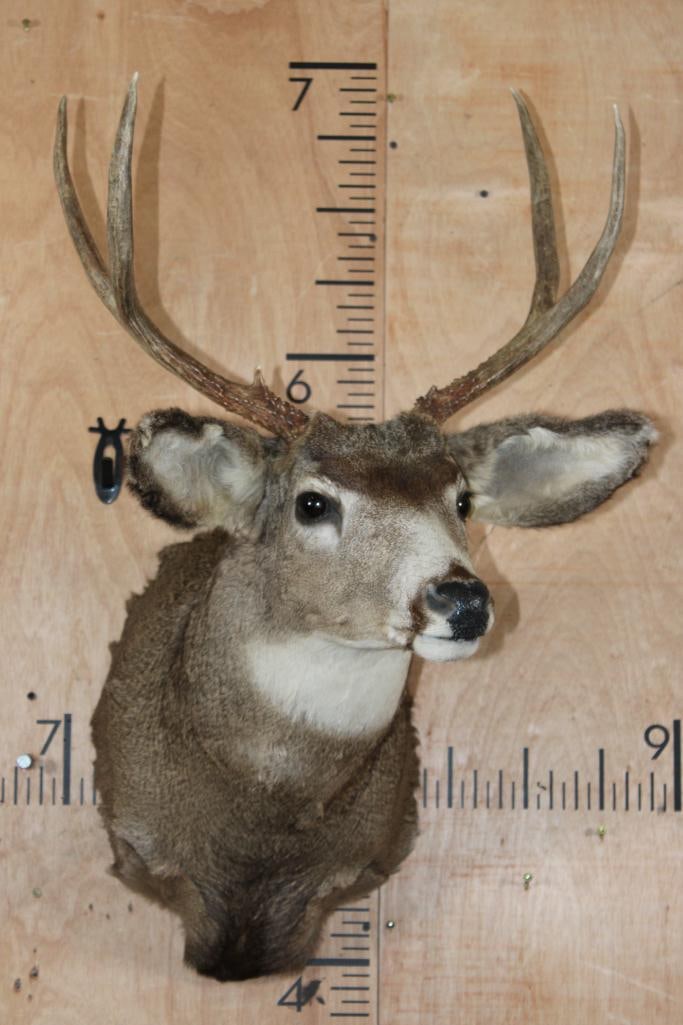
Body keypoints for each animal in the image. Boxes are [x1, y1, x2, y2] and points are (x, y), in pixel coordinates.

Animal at [54, 76, 656, 982]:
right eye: (312, 503)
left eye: (461, 499)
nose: (461, 600)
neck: (259, 815)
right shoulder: (141, 838)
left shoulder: (359, 860)